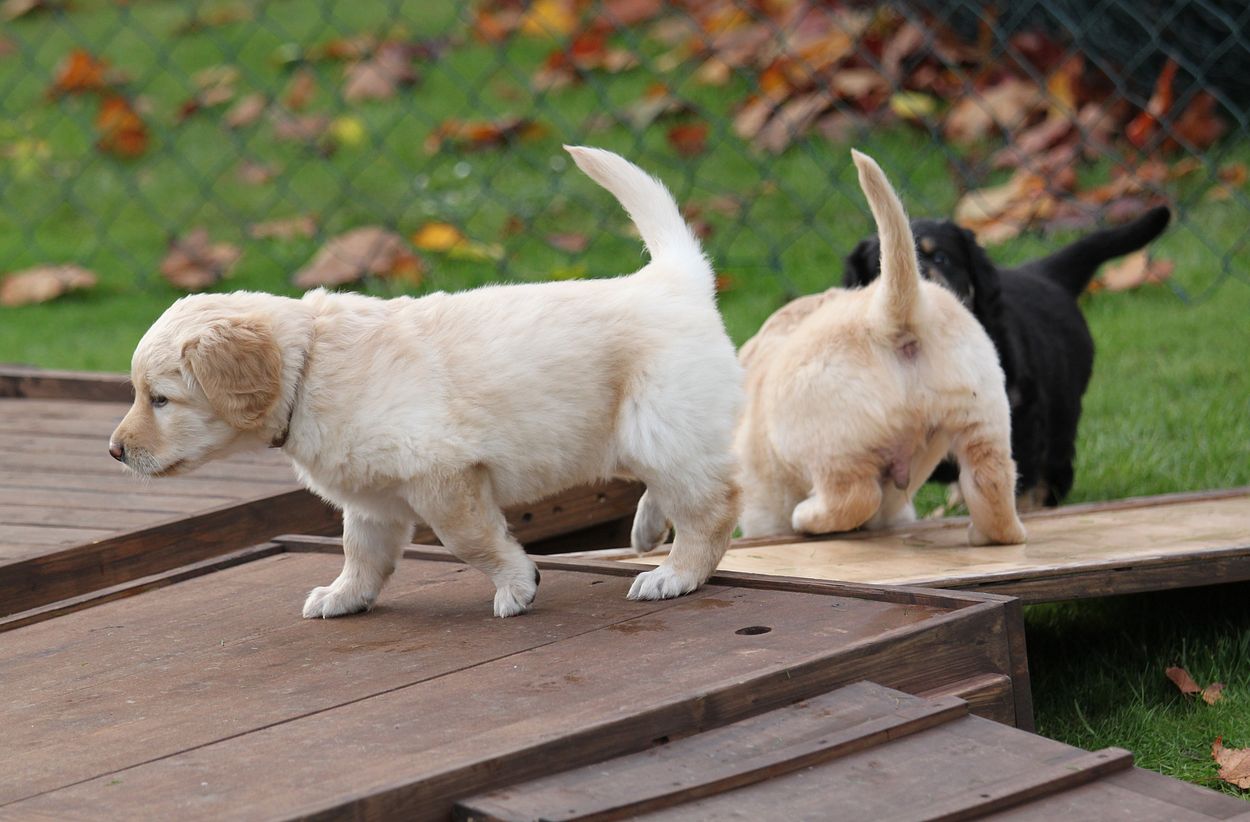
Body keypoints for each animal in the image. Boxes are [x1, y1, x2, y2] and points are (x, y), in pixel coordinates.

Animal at [109, 146, 743, 618]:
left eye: (160, 399)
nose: (114, 451)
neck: (310, 368)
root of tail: (672, 279)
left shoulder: (444, 474)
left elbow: (469, 540)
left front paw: (517, 584)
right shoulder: (370, 495)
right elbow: (361, 550)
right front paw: (344, 595)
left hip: (658, 423)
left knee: (713, 506)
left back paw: (674, 575)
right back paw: (648, 531)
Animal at [735, 150, 1025, 546]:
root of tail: (890, 314)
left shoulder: (760, 498)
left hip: (833, 443)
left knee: (853, 496)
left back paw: (809, 518)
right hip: (982, 416)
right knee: (990, 480)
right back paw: (996, 533)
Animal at [843, 206, 1171, 508]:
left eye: (941, 258)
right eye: (881, 268)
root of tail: (1041, 273)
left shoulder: (1021, 415)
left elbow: (1016, 483)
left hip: (1062, 411)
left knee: (1054, 469)